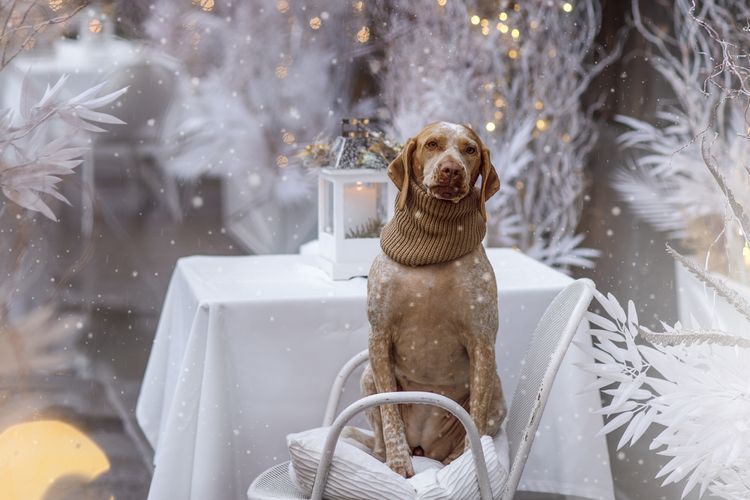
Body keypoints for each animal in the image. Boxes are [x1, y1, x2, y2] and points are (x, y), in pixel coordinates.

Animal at [362, 121, 508, 476]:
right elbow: (389, 413)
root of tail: (424, 445)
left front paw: (471, 466)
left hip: (497, 391)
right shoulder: (378, 336)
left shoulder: (482, 342)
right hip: (367, 376)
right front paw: (398, 462)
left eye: (470, 149)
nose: (452, 169)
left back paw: (453, 460)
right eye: (432, 144)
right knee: (379, 433)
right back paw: (383, 455)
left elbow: (476, 419)